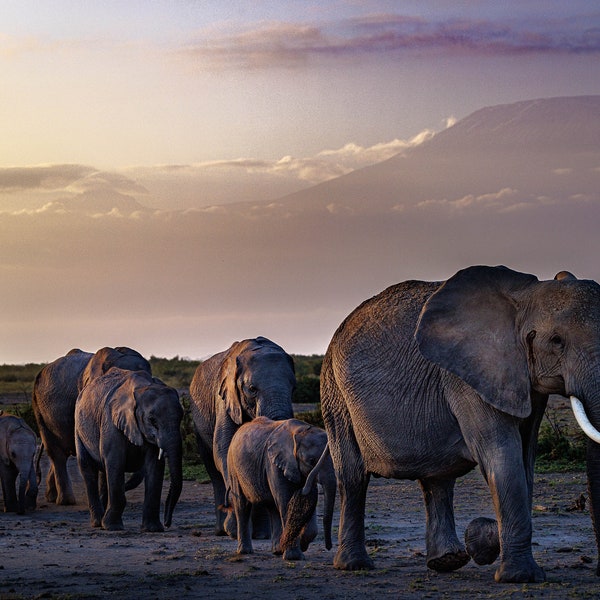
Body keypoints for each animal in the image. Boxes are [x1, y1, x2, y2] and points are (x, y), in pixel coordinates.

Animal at [191, 336, 296, 536]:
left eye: (293, 385)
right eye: (252, 389)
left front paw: (262, 534)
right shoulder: (224, 398)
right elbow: (223, 449)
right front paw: (234, 530)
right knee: (212, 468)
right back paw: (222, 530)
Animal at [226, 414, 338, 560]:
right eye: (311, 461)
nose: (329, 547)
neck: (300, 431)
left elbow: (308, 503)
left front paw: (301, 545)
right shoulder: (274, 463)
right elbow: (286, 501)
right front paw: (294, 556)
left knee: (272, 506)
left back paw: (278, 550)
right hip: (233, 466)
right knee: (243, 505)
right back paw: (245, 552)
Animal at [322, 264, 600, 584]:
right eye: (557, 341)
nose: (597, 570)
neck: (526, 294)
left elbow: (524, 460)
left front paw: (480, 542)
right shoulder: (467, 377)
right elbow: (502, 455)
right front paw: (519, 576)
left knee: (437, 479)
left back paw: (447, 561)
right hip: (334, 393)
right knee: (354, 476)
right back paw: (354, 565)